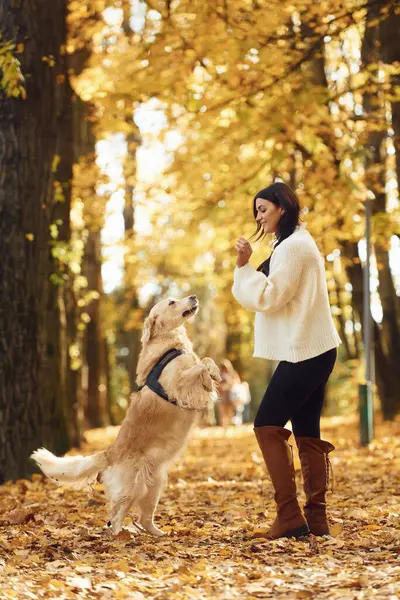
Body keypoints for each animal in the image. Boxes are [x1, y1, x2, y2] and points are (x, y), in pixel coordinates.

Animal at [30, 296, 222, 536]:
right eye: (171, 302)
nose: (193, 297)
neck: (170, 346)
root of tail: (108, 452)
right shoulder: (176, 384)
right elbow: (200, 365)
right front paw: (208, 378)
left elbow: (206, 360)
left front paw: (214, 375)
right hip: (132, 488)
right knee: (115, 516)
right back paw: (122, 535)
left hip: (154, 486)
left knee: (144, 519)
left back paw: (159, 534)